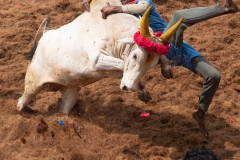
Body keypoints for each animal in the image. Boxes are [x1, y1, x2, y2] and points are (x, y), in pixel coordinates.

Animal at [17, 0, 182, 115]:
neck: (113, 26)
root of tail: (45, 34)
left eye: (151, 64)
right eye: (135, 56)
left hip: (70, 92)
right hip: (32, 84)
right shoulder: (96, 60)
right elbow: (122, 65)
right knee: (21, 102)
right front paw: (140, 90)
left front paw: (166, 69)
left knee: (64, 110)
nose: (128, 87)